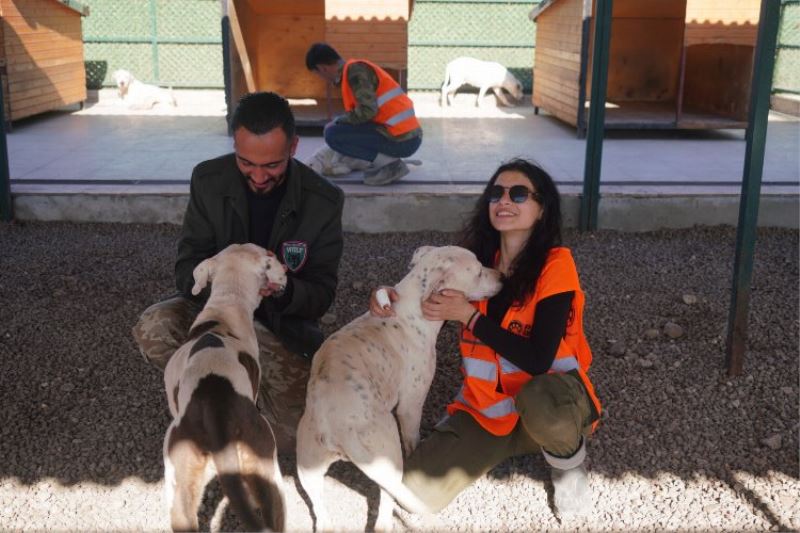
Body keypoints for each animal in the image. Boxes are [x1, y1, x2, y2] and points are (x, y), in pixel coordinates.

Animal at [296, 245, 504, 528]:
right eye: (479, 271)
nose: (503, 276)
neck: (413, 310)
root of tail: (335, 428)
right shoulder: (410, 405)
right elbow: (413, 438)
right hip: (388, 448)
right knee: (387, 498)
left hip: (307, 468)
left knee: (320, 507)